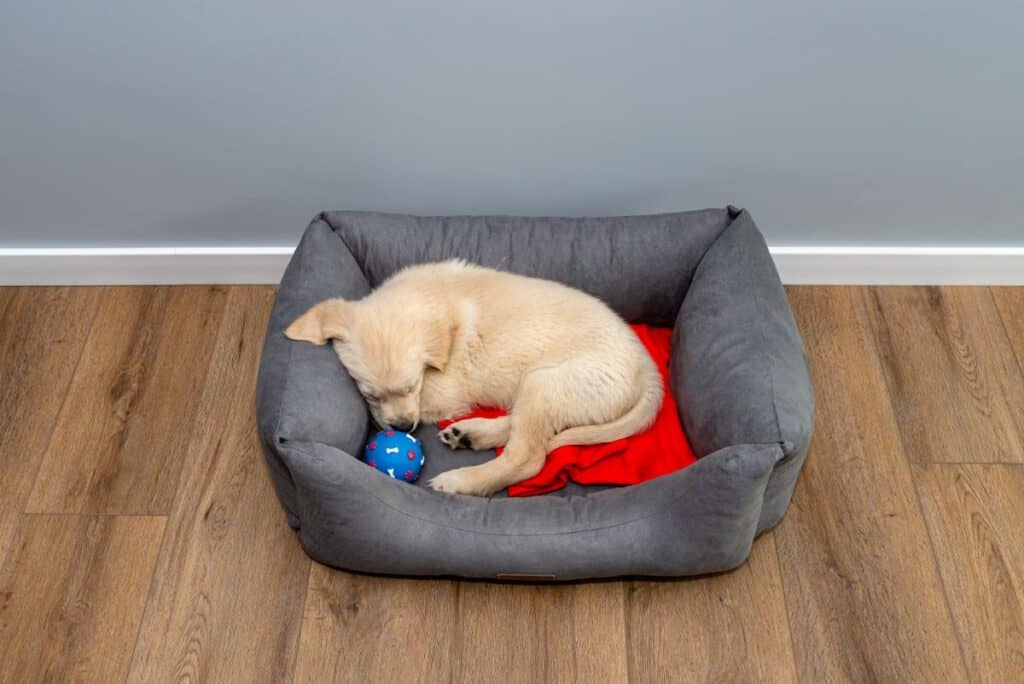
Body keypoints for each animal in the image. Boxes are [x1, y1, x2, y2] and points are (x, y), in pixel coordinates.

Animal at [284, 259, 663, 493]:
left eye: (412, 385)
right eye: (372, 393)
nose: (404, 428)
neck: (431, 300)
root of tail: (647, 368)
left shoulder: (444, 392)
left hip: (548, 382)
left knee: (528, 456)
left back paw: (460, 481)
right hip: (549, 390)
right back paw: (470, 434)